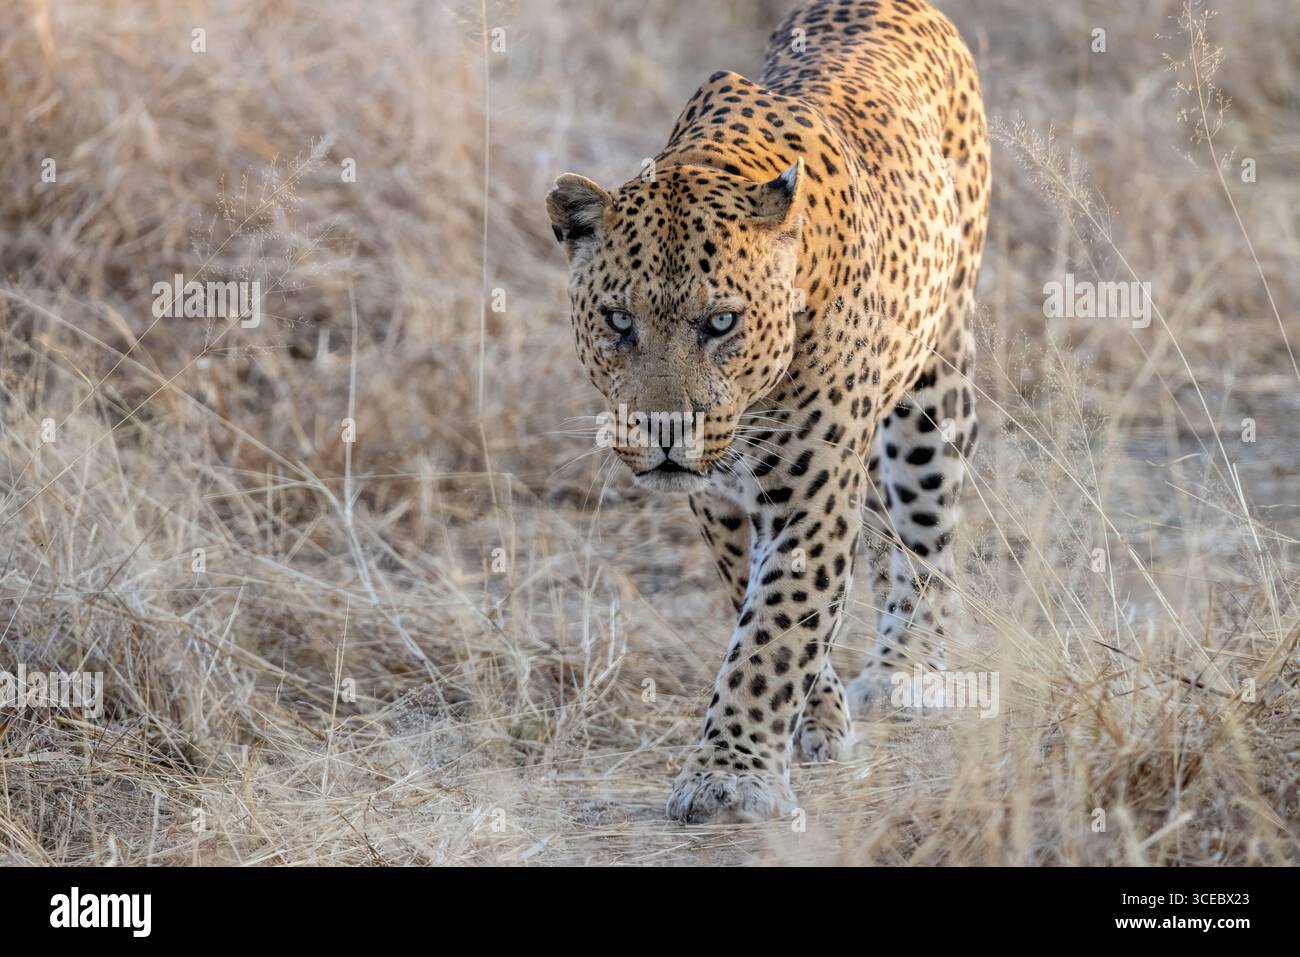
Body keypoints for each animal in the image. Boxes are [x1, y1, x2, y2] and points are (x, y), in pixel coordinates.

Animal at [546, 0, 990, 823]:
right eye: (619, 322)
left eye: (721, 322)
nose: (666, 431)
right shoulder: (721, 500)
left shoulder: (811, 488)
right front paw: (813, 722)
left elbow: (775, 631)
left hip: (933, 384)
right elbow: (759, 605)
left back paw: (906, 671)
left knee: (928, 532)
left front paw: (729, 775)